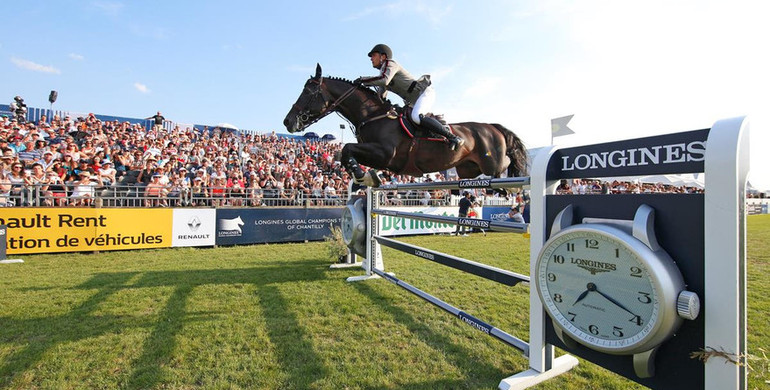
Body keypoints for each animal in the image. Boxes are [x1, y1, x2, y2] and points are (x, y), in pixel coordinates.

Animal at [282, 63, 528, 187]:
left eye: (308, 91)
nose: (287, 122)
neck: (372, 115)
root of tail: (493, 127)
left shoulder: (385, 153)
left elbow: (347, 149)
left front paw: (362, 175)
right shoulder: (376, 155)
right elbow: (345, 153)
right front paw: (365, 176)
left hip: (491, 165)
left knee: (506, 164)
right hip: (467, 169)